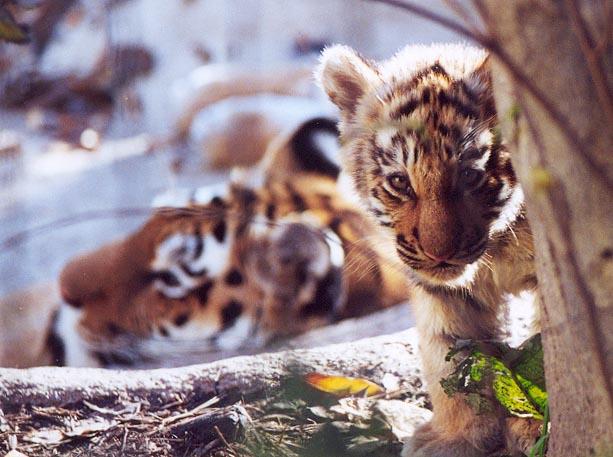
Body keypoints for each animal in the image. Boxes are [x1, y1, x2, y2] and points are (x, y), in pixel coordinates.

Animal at [318, 43, 536, 456]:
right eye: (400, 182)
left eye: (469, 175)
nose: (440, 253)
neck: (498, 248)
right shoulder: (442, 292)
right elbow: (449, 357)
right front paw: (459, 436)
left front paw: (535, 425)